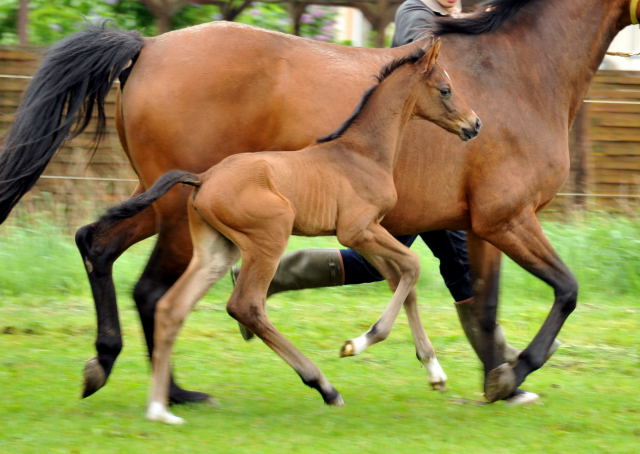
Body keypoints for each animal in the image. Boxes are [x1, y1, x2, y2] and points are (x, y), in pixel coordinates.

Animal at [100, 40, 478, 424]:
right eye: (445, 89)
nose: (474, 124)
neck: (362, 153)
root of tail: (203, 178)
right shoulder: (357, 230)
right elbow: (412, 266)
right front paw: (358, 343)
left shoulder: (367, 234)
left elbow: (402, 280)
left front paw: (435, 372)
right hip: (271, 235)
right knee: (246, 305)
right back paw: (324, 386)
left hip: (216, 251)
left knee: (171, 306)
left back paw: (159, 408)